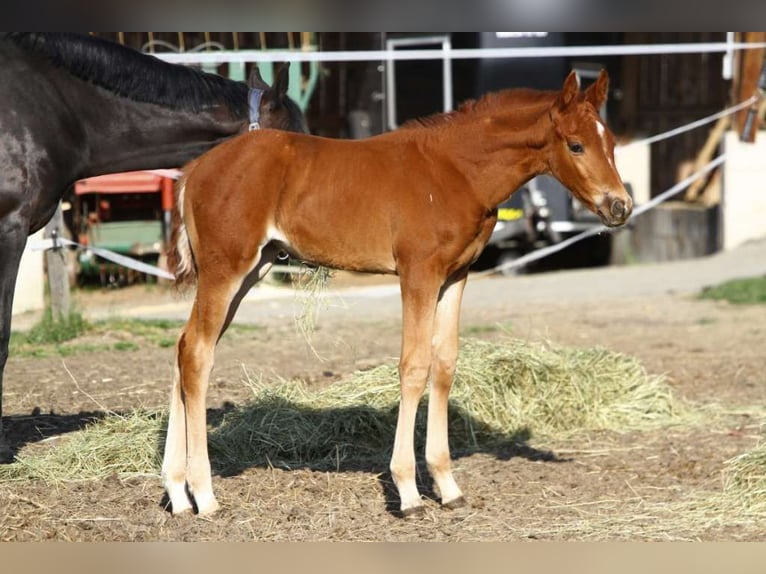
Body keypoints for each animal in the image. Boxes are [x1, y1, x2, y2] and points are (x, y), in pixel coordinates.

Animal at [164, 71, 636, 516]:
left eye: (612, 142)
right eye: (576, 145)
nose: (620, 207)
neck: (456, 170)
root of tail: (194, 170)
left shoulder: (455, 276)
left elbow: (444, 364)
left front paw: (448, 487)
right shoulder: (418, 274)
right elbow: (414, 366)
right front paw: (408, 491)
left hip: (252, 268)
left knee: (185, 348)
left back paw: (178, 492)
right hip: (227, 269)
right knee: (199, 353)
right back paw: (204, 495)